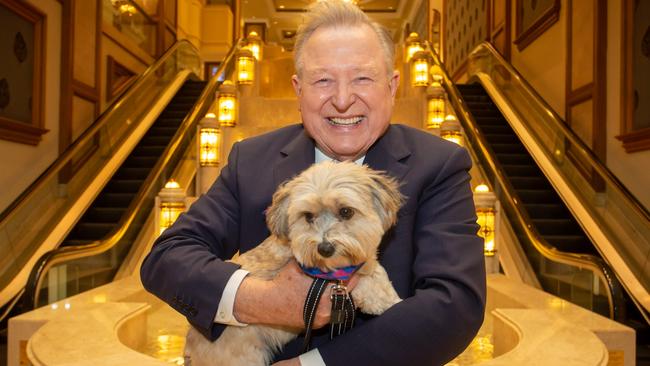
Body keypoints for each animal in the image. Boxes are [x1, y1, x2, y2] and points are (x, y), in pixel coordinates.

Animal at [182, 162, 402, 364]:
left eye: (346, 211)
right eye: (308, 216)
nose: (325, 249)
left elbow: (375, 271)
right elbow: (368, 284)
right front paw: (387, 301)